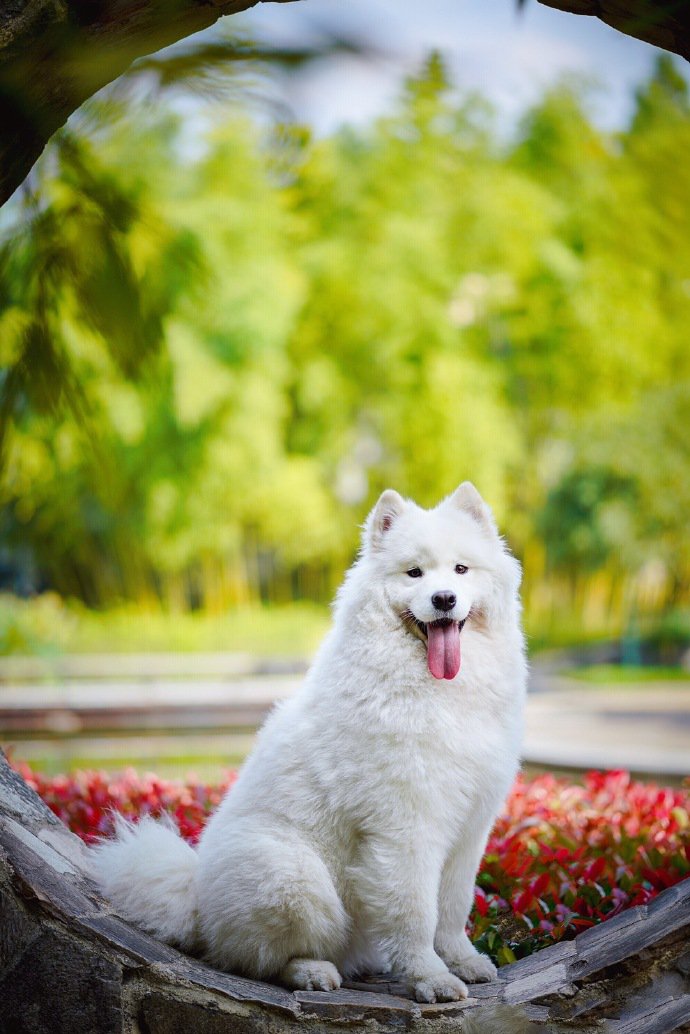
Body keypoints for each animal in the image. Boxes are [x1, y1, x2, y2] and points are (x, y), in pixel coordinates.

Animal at [94, 481, 525, 1000]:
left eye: (461, 569)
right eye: (414, 572)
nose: (443, 598)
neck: (437, 688)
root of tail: (195, 899)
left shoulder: (470, 825)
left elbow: (452, 906)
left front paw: (463, 962)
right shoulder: (406, 828)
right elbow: (415, 914)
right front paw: (431, 978)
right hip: (293, 875)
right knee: (254, 959)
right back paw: (311, 972)